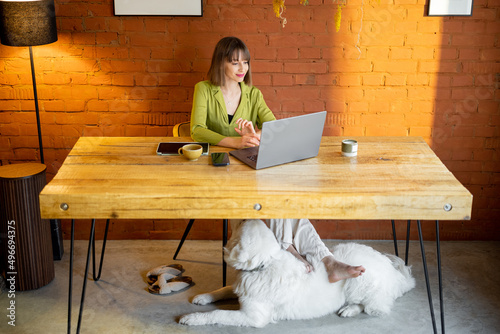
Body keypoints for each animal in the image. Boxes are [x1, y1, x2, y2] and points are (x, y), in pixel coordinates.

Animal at [180, 220, 414, 328]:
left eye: (243, 223)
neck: (265, 264)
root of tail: (396, 274)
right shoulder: (241, 287)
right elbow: (224, 289)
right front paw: (203, 297)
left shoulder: (253, 316)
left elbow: (219, 313)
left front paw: (191, 318)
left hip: (359, 280)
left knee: (374, 305)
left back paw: (349, 309)